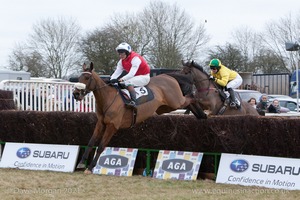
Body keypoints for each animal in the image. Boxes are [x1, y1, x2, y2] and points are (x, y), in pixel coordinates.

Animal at [72, 62, 206, 173]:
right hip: (166, 107)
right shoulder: (101, 123)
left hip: (176, 101)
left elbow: (100, 146)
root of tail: (169, 76)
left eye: (87, 78)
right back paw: (201, 115)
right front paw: (81, 163)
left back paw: (202, 112)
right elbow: (91, 142)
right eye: (79, 78)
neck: (108, 98)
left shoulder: (112, 126)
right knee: (188, 102)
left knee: (191, 97)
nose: (75, 94)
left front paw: (90, 167)